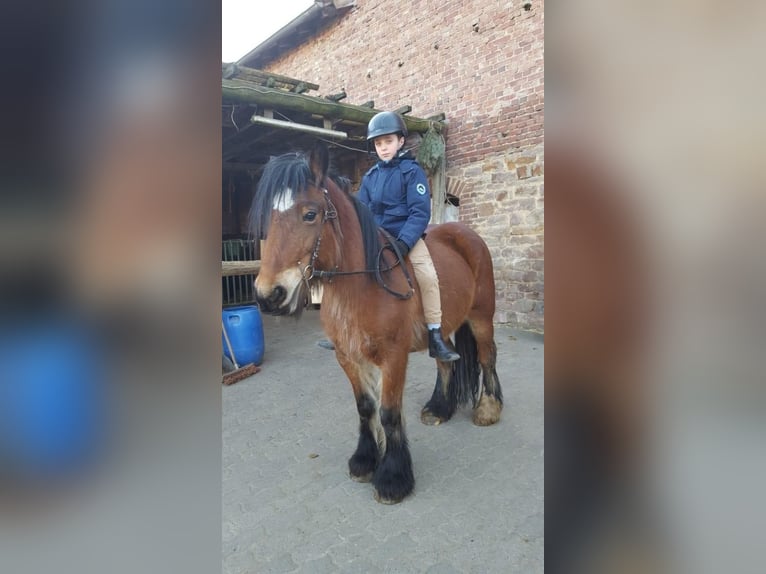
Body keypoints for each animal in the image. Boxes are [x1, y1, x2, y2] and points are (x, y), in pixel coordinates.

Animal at [250, 144, 504, 504]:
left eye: (310, 214)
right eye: (269, 218)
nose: (268, 294)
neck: (362, 284)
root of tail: (469, 235)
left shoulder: (393, 357)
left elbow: (388, 412)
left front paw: (393, 477)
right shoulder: (348, 356)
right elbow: (366, 407)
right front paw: (365, 460)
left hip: (481, 317)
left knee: (487, 357)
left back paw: (488, 409)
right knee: (446, 359)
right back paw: (439, 408)